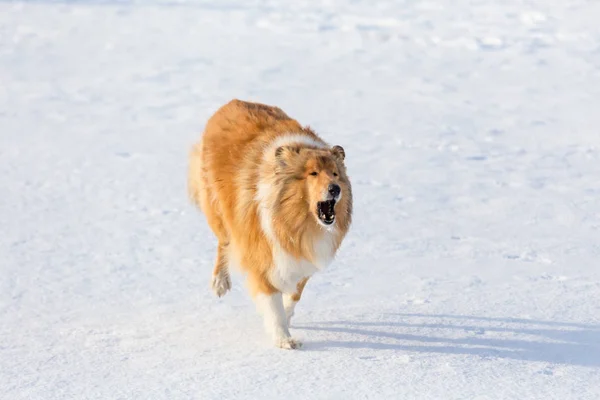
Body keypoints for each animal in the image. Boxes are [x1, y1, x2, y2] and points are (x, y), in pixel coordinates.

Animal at [189, 101, 352, 350]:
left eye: (335, 173)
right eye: (313, 173)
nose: (335, 188)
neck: (299, 222)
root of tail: (231, 103)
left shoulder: (303, 256)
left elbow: (293, 295)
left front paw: (288, 316)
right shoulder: (262, 252)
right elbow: (272, 301)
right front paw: (284, 339)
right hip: (217, 207)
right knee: (224, 241)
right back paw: (219, 282)